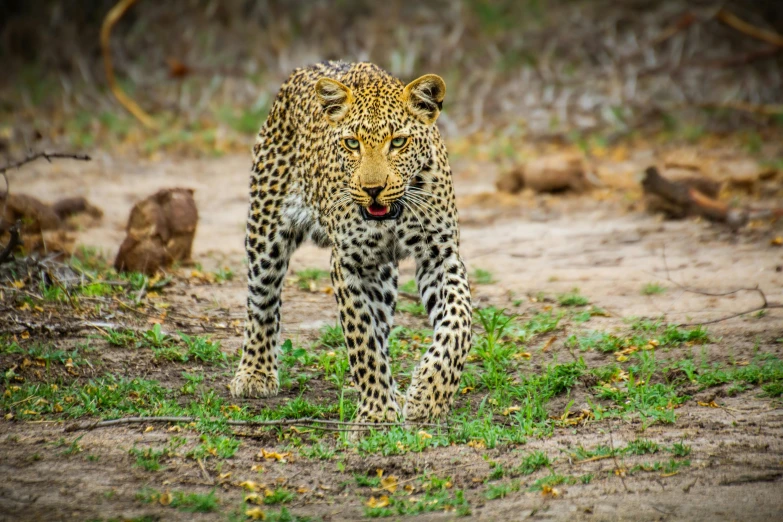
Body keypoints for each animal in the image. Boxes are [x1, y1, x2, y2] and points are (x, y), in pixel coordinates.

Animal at [227, 61, 472, 422]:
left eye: (398, 142)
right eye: (352, 144)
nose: (373, 189)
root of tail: (304, 70)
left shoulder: (440, 255)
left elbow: (459, 322)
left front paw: (428, 395)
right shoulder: (347, 262)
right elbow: (362, 340)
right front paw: (377, 412)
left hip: (381, 275)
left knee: (383, 324)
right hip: (265, 230)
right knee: (262, 302)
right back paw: (255, 373)